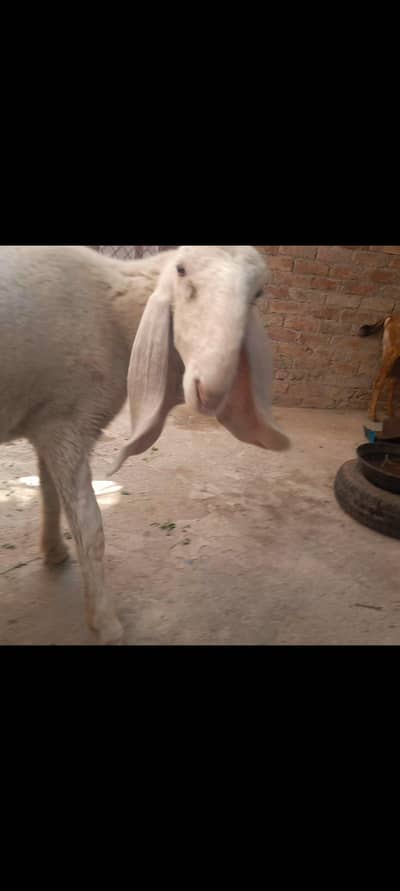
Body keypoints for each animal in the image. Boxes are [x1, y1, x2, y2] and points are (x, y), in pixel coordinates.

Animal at [0, 245, 290, 644]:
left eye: (258, 292)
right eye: (181, 271)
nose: (209, 392)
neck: (113, 315)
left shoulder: (49, 419)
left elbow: (48, 492)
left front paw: (54, 551)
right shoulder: (68, 426)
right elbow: (90, 529)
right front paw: (106, 623)